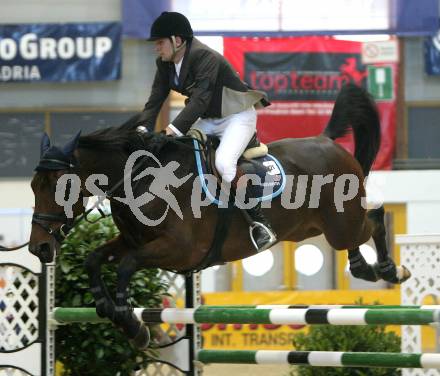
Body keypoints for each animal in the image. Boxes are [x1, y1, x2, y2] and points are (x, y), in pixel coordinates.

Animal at [29, 83, 410, 348]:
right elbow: (94, 260)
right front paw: (114, 314)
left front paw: (132, 325)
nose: (39, 249)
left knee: (374, 217)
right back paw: (364, 267)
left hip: (340, 222)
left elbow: (125, 266)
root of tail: (327, 140)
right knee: (357, 233)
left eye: (59, 186)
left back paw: (390, 269)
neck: (141, 179)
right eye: (33, 186)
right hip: (311, 228)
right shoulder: (132, 241)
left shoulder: (177, 250)